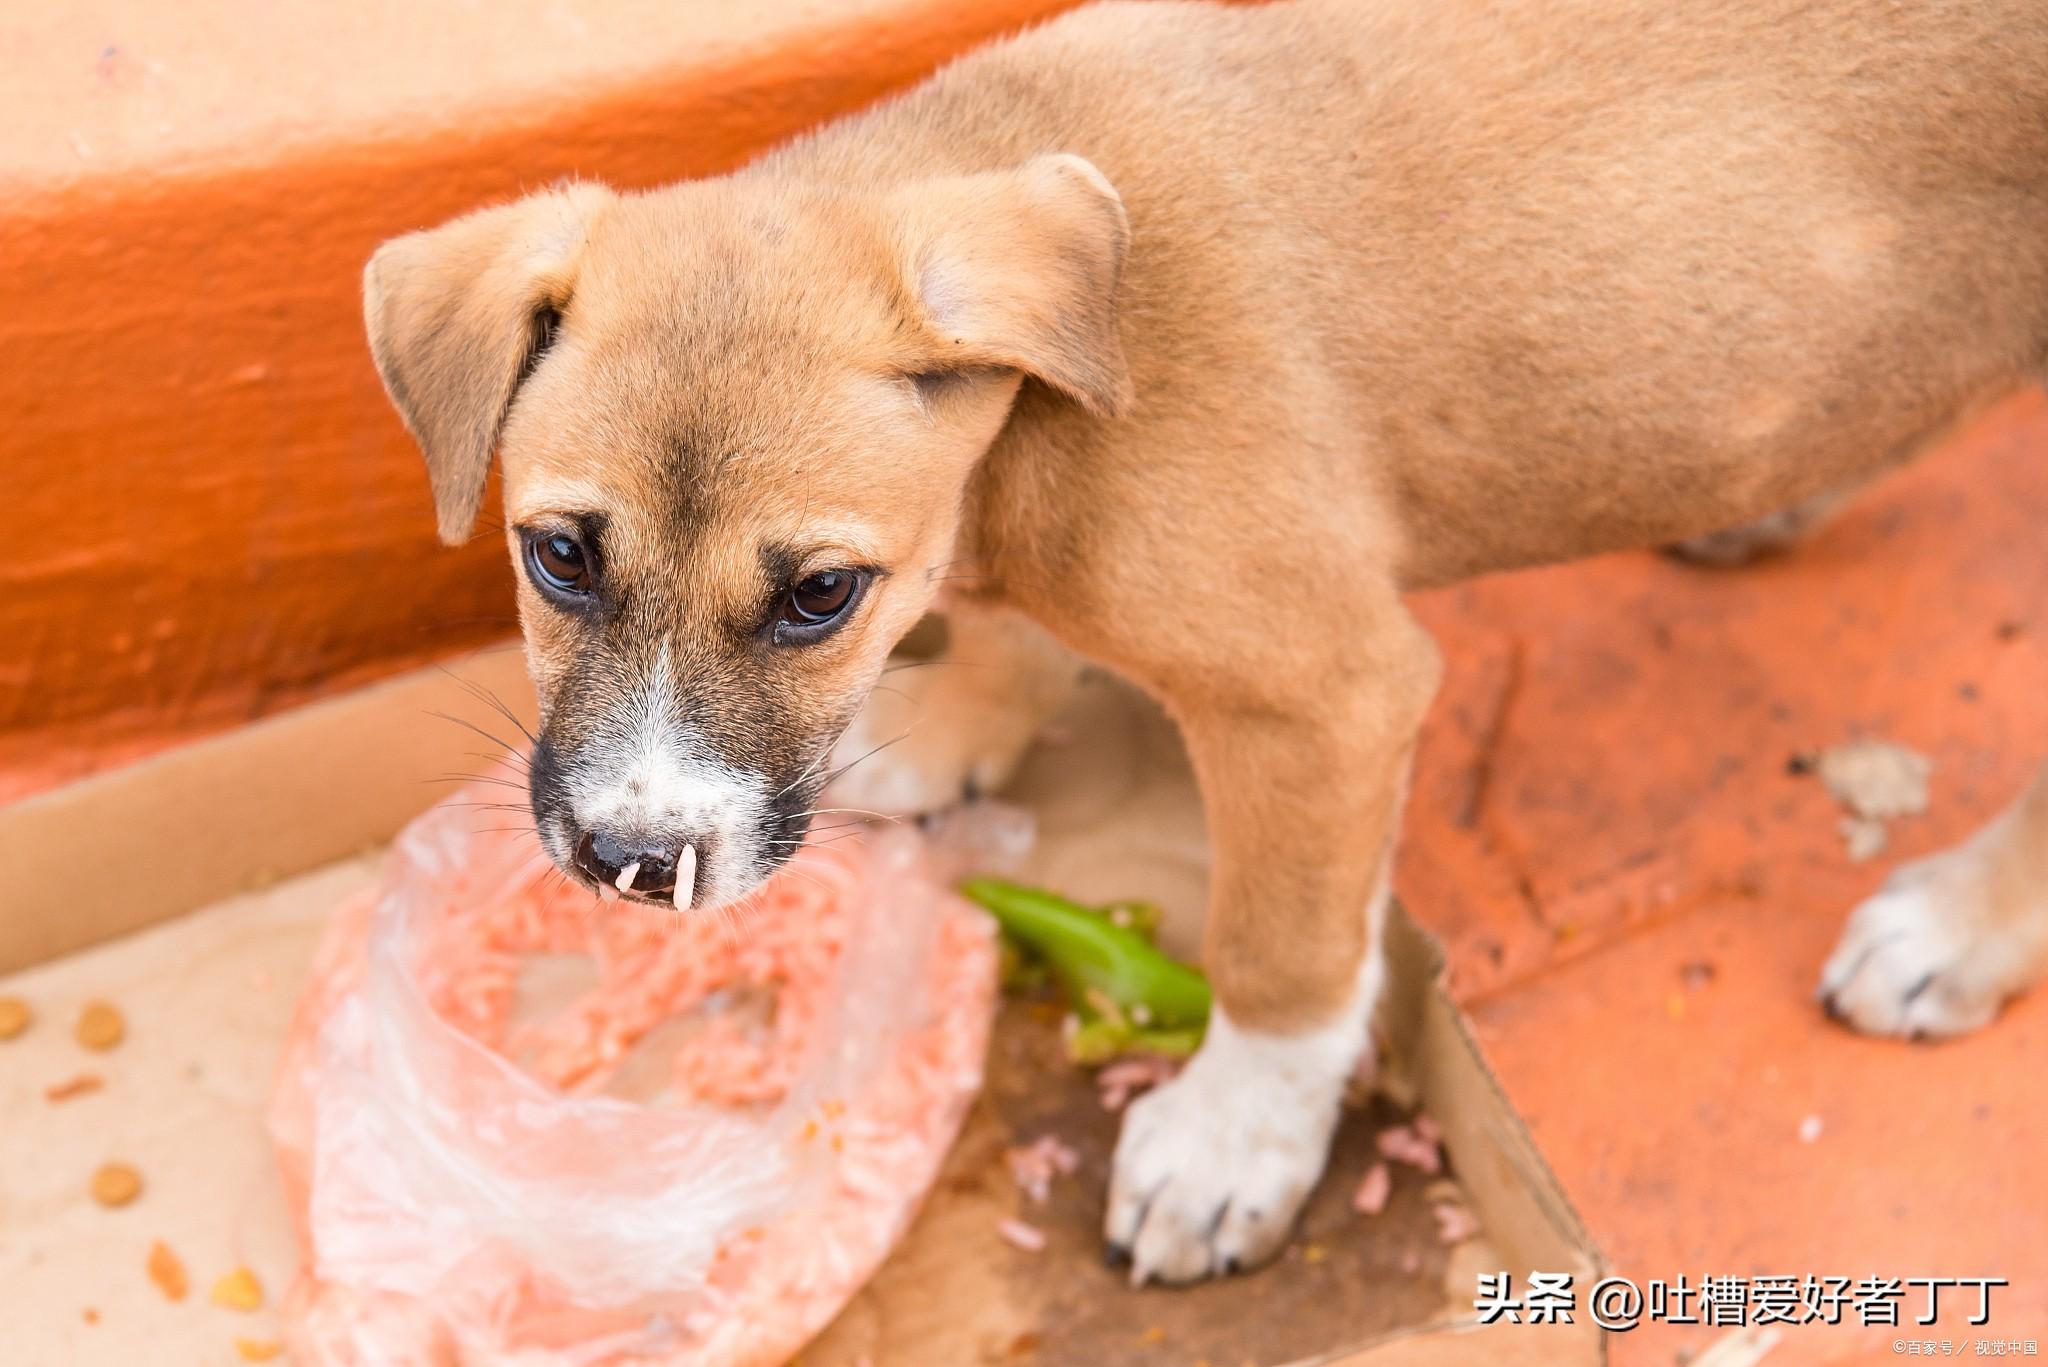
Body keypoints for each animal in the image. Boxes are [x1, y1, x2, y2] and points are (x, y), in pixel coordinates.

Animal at [368, 0, 2048, 1287]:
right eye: (559, 553)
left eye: (819, 592)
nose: (631, 862)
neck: (1067, 398)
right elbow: (1009, 630)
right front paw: (948, 721)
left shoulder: (1323, 700)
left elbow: (1282, 946)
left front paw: (1236, 1139)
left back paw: (1958, 926)